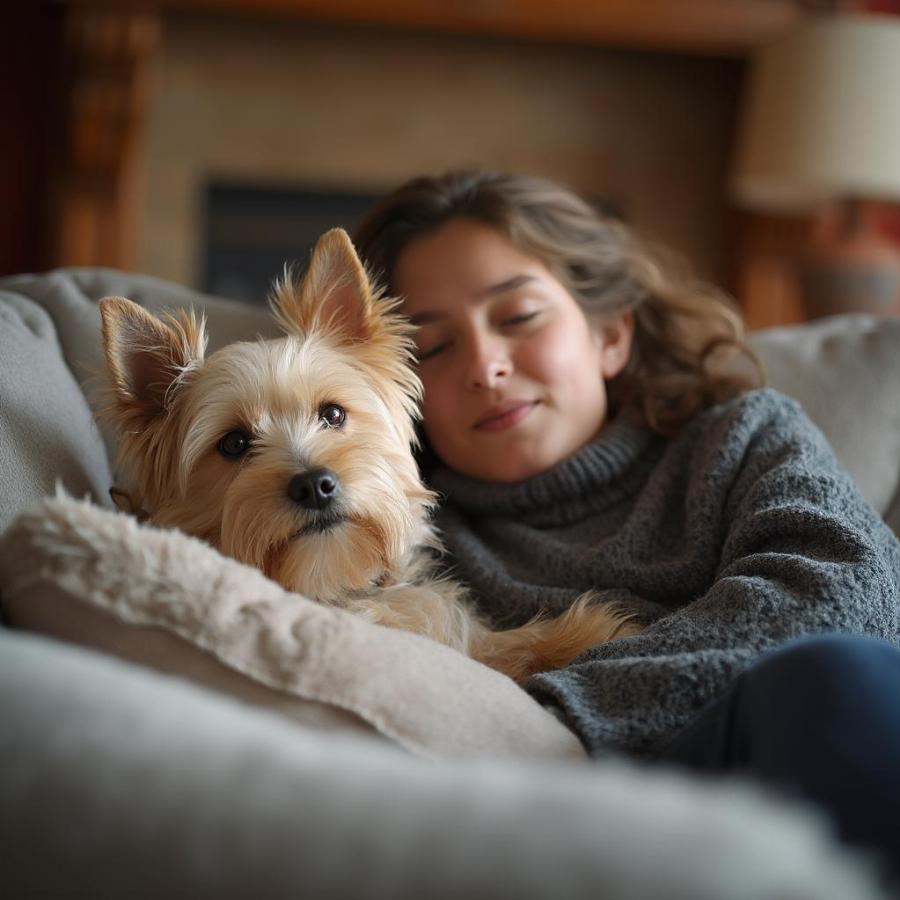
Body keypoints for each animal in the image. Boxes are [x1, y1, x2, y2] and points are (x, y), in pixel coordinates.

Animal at [96, 227, 640, 684]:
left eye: (333, 414)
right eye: (233, 444)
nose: (314, 484)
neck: (332, 583)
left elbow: (497, 640)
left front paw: (594, 630)